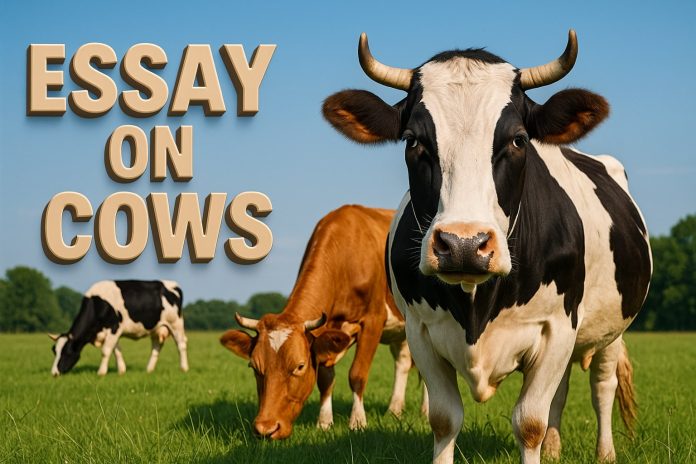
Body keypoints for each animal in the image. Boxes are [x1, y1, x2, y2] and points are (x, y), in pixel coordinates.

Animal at [49, 280, 188, 376]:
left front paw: (101, 372)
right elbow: (116, 350)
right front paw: (121, 370)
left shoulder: (114, 327)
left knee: (181, 345)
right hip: (156, 327)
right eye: (54, 351)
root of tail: (172, 284)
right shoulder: (113, 332)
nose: (54, 373)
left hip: (176, 324)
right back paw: (149, 370)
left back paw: (184, 368)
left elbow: (106, 351)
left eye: (66, 352)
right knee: (156, 347)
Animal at [220, 205, 427, 439]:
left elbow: (357, 374)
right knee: (403, 361)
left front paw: (358, 422)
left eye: (300, 366)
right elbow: (325, 379)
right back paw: (394, 410)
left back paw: (425, 411)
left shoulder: (373, 320)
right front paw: (324, 422)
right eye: (254, 366)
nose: (266, 428)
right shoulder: (323, 333)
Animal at [322, 31, 652, 464]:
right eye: (412, 141)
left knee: (603, 384)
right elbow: (444, 419)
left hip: (610, 328)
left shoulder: (557, 327)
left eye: (518, 139)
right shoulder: (420, 331)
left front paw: (543, 442)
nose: (464, 244)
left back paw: (605, 452)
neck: (477, 304)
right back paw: (555, 448)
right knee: (562, 390)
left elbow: (529, 423)